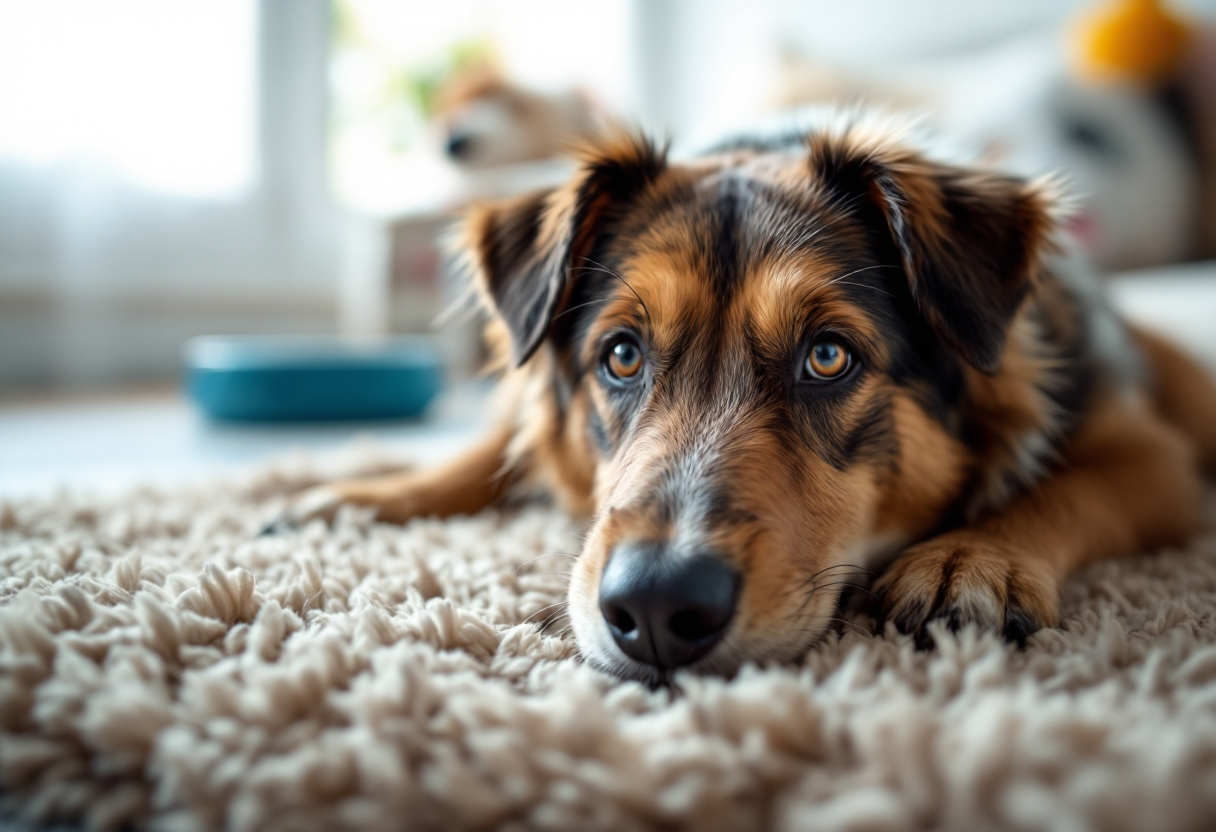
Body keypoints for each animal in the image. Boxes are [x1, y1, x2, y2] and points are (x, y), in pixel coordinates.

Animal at [279, 111, 1216, 681]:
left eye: (828, 356)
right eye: (621, 355)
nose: (656, 608)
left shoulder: (1150, 457)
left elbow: (1065, 485)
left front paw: (973, 555)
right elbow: (497, 450)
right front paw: (366, 493)